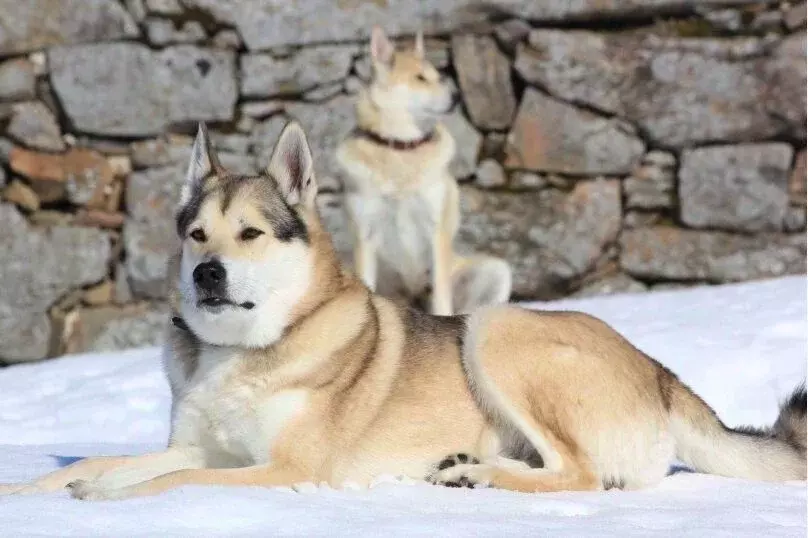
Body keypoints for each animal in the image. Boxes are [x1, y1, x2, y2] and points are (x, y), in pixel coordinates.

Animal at [3, 121, 804, 498]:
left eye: (251, 234)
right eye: (197, 234)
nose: (205, 273)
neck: (240, 349)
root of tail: (659, 371)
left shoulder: (284, 466)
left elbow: (166, 482)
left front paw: (103, 497)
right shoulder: (204, 447)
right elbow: (112, 461)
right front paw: (36, 488)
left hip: (496, 327)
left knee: (577, 474)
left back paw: (479, 477)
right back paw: (462, 469)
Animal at [334, 27, 512, 314]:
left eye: (438, 77)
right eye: (419, 78)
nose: (458, 97)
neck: (401, 149)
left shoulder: (435, 232)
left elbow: (440, 298)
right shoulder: (366, 234)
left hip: (496, 271)